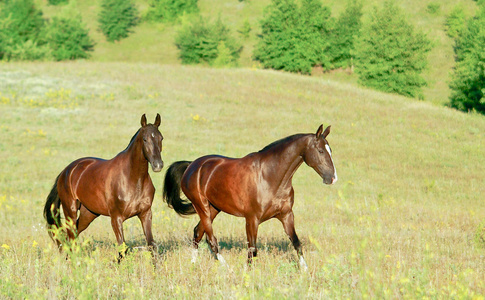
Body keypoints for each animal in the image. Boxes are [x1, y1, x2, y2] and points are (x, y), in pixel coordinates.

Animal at [42, 113, 163, 258]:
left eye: (161, 138)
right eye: (145, 139)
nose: (158, 165)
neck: (133, 179)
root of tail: (66, 171)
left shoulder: (145, 214)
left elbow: (152, 245)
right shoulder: (116, 218)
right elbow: (122, 249)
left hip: (89, 214)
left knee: (74, 234)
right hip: (70, 210)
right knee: (70, 236)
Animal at [163, 124, 336, 270]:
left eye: (330, 151)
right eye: (320, 151)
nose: (333, 178)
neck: (269, 176)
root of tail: (192, 166)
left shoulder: (286, 215)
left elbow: (296, 243)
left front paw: (305, 270)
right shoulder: (252, 219)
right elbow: (252, 249)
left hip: (213, 208)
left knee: (198, 233)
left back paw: (193, 264)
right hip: (202, 207)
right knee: (211, 240)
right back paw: (227, 268)